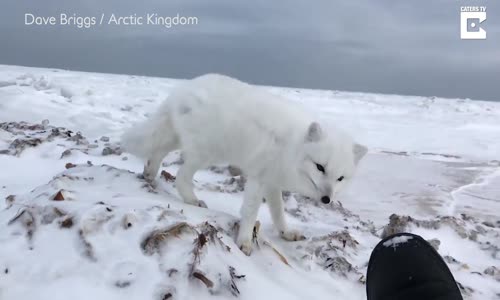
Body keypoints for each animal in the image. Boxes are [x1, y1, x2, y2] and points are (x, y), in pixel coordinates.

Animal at [119, 74, 366, 254]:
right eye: (320, 167)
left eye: (340, 178)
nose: (327, 199)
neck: (292, 147)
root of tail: (183, 89)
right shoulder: (259, 177)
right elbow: (250, 211)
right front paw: (245, 242)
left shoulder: (273, 182)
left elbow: (278, 212)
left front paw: (285, 233)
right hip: (208, 153)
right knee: (181, 175)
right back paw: (191, 199)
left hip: (180, 139)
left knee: (157, 151)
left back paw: (150, 173)